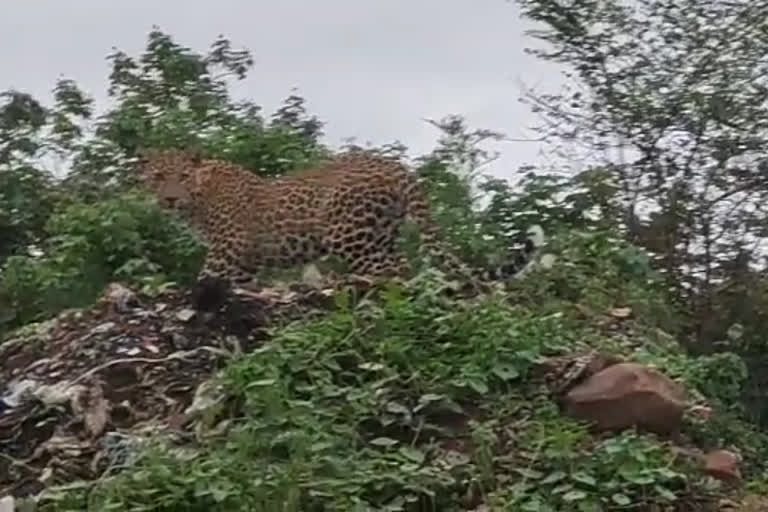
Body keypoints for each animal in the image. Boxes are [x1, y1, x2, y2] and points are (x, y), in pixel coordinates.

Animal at [138, 146, 544, 310]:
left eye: (181, 177)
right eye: (158, 177)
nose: (169, 199)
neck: (198, 197)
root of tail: (398, 167)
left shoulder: (229, 248)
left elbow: (206, 276)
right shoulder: (246, 261)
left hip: (346, 232)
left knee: (392, 272)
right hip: (380, 234)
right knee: (399, 266)